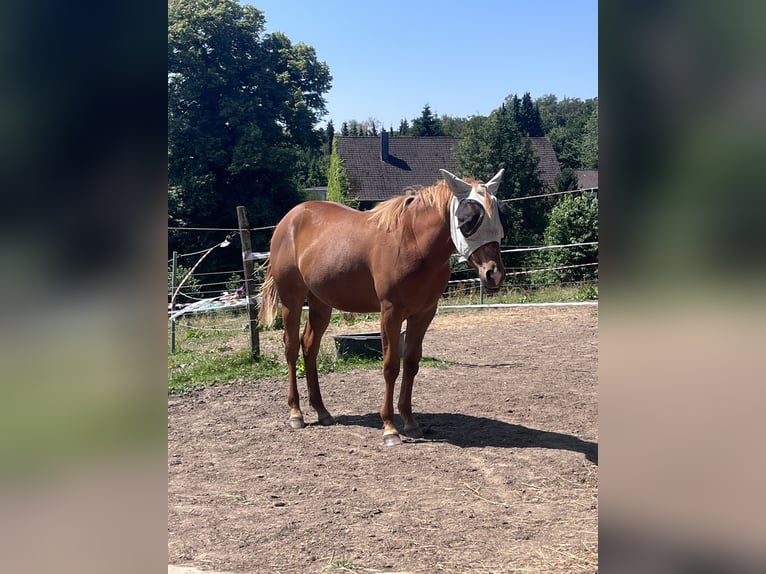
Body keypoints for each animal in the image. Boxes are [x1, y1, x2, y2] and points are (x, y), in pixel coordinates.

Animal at [258, 169, 506, 446]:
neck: (411, 241)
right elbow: (390, 366)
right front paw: (390, 428)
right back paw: (296, 413)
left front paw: (410, 422)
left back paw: (322, 411)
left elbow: (411, 364)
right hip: (291, 300)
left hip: (320, 303)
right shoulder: (391, 313)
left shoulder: (423, 314)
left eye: (499, 214)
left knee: (309, 347)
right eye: (468, 218)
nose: (494, 274)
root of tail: (289, 220)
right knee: (291, 348)